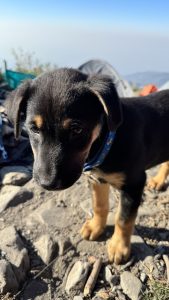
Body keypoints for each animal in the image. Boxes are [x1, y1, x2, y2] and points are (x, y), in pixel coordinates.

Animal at [4, 69, 169, 264]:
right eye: (34, 129)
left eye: (77, 129)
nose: (47, 183)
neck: (108, 141)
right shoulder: (96, 179)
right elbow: (99, 205)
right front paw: (95, 227)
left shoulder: (134, 184)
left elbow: (124, 219)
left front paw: (119, 247)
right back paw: (158, 180)